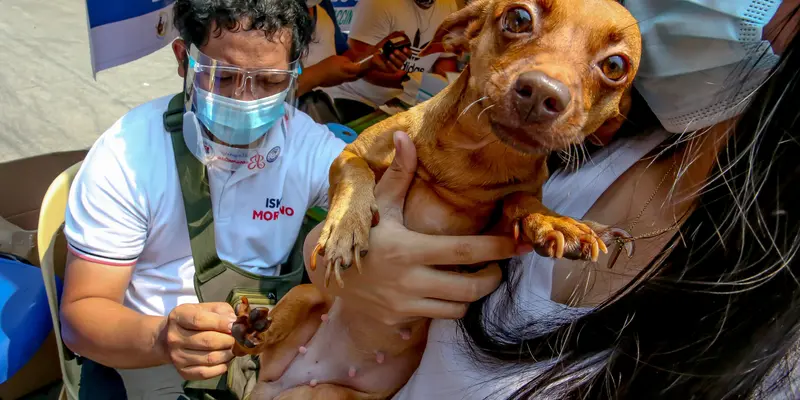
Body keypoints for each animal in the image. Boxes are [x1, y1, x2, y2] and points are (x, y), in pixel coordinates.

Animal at [233, 1, 644, 398]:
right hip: (305, 294)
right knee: (248, 344)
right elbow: (357, 175)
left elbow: (520, 201)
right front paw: (345, 229)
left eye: (615, 66)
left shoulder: (490, 242)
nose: (544, 91)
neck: (475, 159)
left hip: (329, 393)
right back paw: (252, 326)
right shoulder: (349, 155)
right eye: (518, 18)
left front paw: (558, 222)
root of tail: (278, 384)